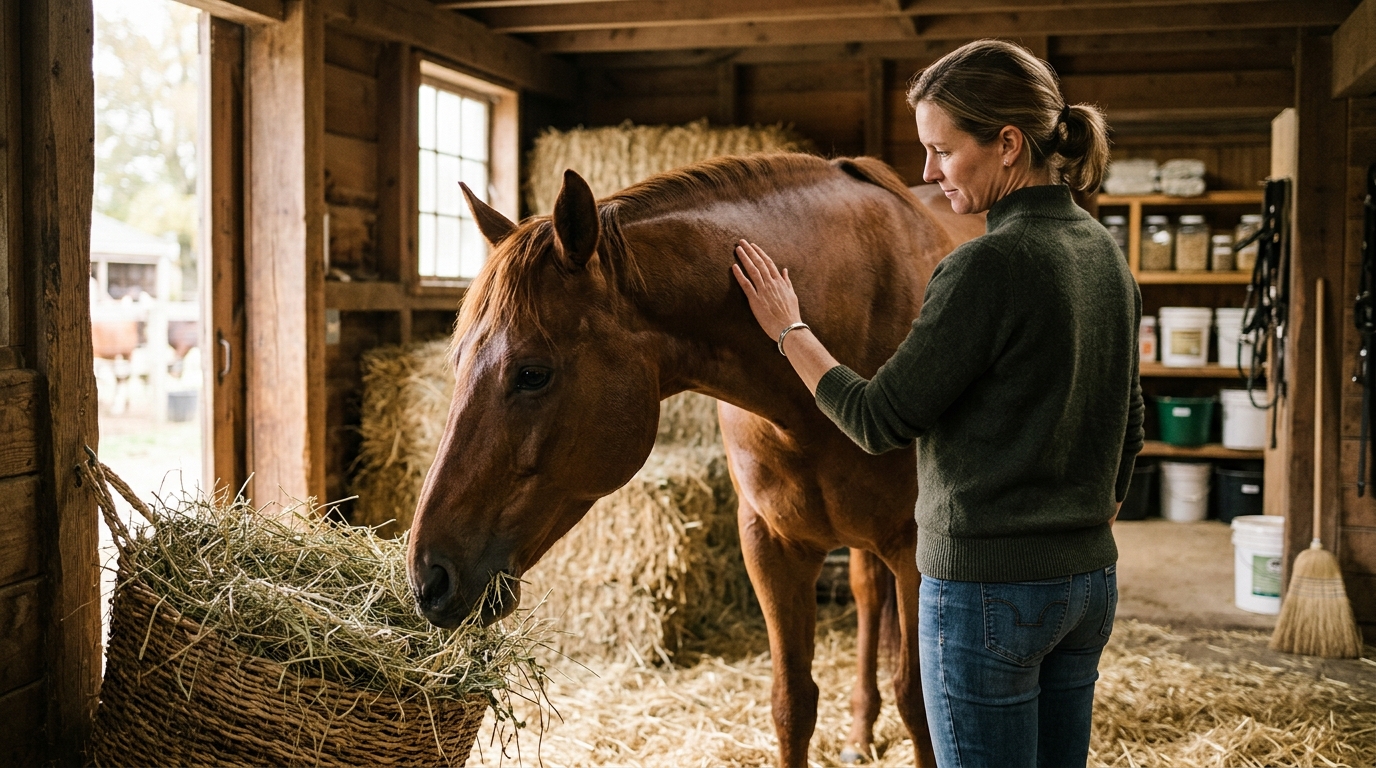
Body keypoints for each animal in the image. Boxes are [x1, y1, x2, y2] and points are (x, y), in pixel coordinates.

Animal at [408, 153, 966, 767]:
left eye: (532, 373)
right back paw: (860, 730)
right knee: (867, 597)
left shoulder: (916, 552)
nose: (428, 576)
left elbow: (920, 703)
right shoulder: (770, 544)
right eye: (457, 361)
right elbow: (793, 702)